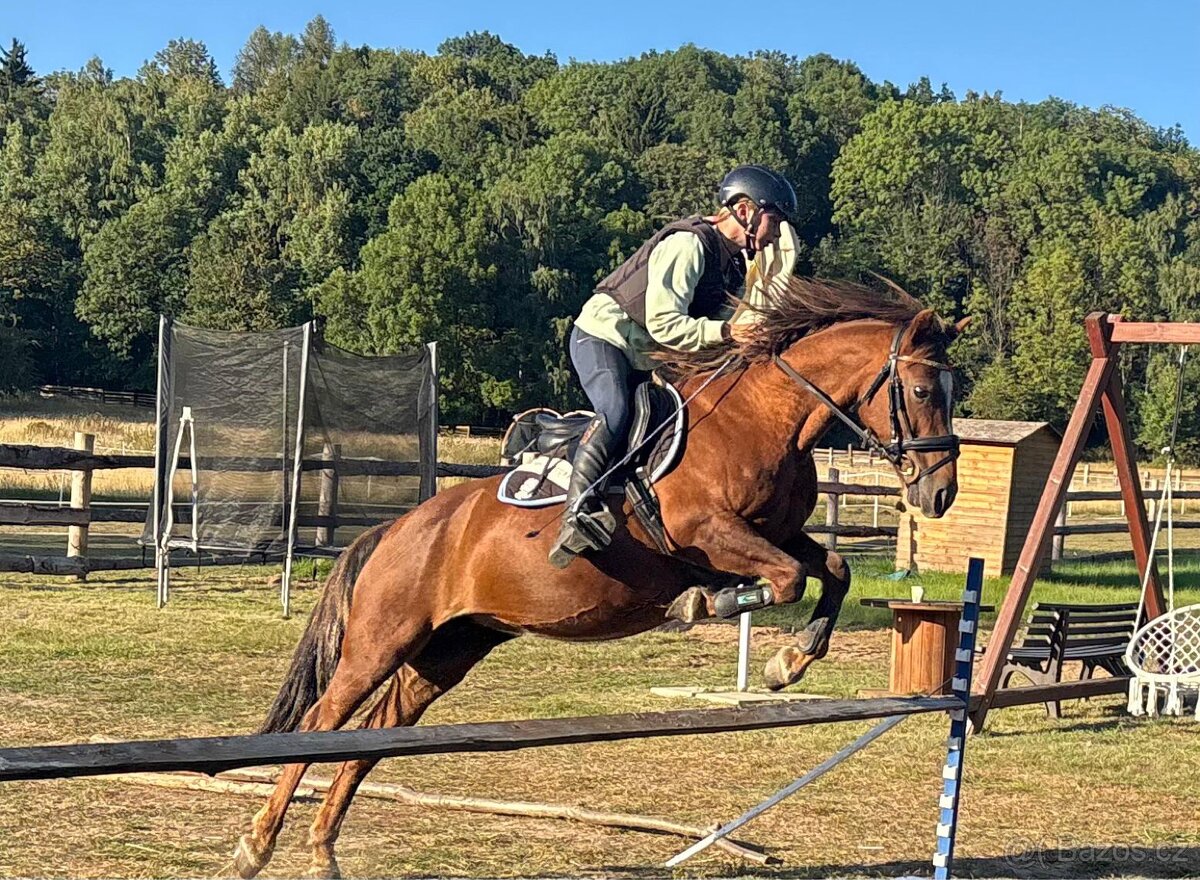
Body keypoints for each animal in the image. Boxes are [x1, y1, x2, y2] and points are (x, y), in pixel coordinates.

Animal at [231, 279, 968, 879]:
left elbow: (831, 570)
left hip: (447, 650)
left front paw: (790, 660)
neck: (766, 418)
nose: (939, 496)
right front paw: (704, 607)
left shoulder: (776, 535)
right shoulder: (710, 533)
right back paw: (257, 845)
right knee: (324, 721)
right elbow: (784, 580)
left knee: (374, 734)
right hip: (382, 640)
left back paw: (323, 848)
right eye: (922, 391)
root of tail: (396, 530)